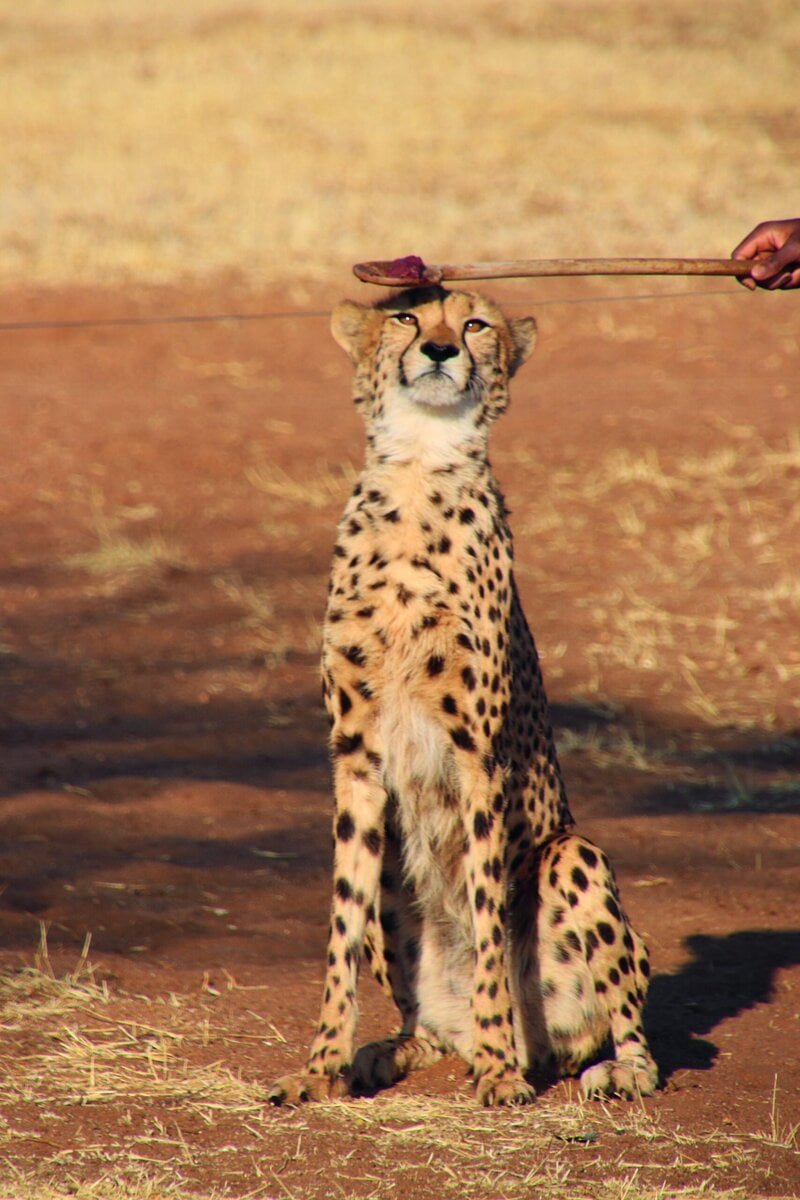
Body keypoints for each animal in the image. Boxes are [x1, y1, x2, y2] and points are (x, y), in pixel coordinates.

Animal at [269, 285, 658, 1108]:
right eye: (406, 317)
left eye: (475, 323)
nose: (443, 349)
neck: (420, 467)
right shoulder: (355, 762)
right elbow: (340, 929)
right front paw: (319, 1067)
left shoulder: (480, 760)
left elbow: (486, 921)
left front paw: (499, 1068)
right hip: (397, 872)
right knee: (419, 1010)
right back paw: (397, 1048)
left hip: (570, 855)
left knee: (622, 1021)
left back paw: (605, 1067)